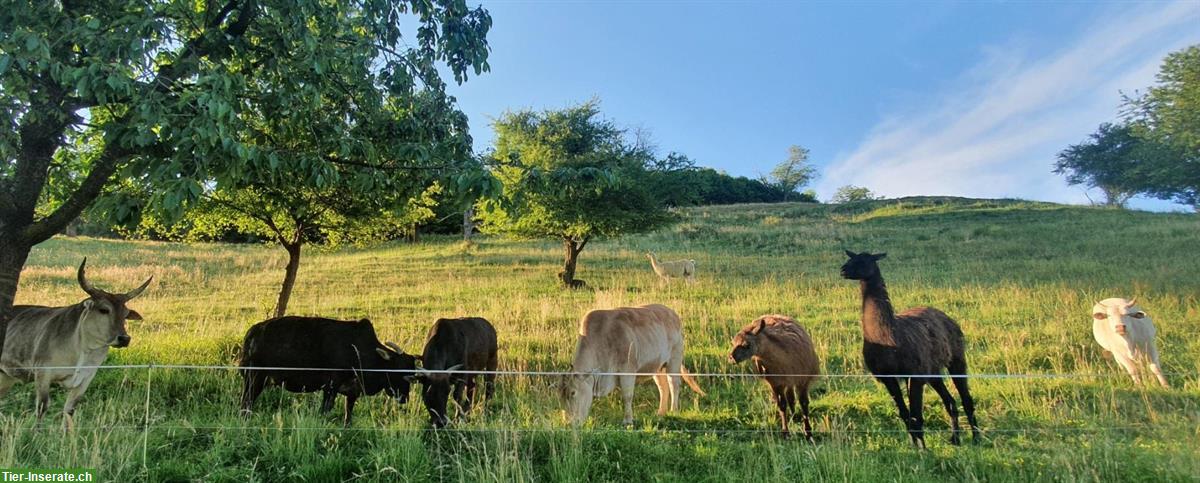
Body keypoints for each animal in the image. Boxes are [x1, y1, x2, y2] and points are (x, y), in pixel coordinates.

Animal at [0, 260, 151, 430]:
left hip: (6, 376)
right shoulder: (43, 374)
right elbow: (42, 407)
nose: (124, 338)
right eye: (104, 310)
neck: (83, 350)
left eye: (125, 314)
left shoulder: (85, 379)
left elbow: (69, 411)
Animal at [237, 317, 417, 425]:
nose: (404, 398)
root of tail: (252, 333)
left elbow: (348, 414)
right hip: (255, 379)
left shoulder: (353, 391)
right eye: (399, 370)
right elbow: (325, 410)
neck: (360, 351)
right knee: (246, 403)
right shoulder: (331, 386)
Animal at [559, 305, 700, 425]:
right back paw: (661, 412)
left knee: (674, 384)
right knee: (662, 387)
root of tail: (671, 312)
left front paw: (628, 421)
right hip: (657, 367)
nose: (568, 423)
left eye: (573, 392)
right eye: (560, 395)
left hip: (674, 359)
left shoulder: (627, 369)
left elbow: (627, 396)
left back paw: (673, 410)